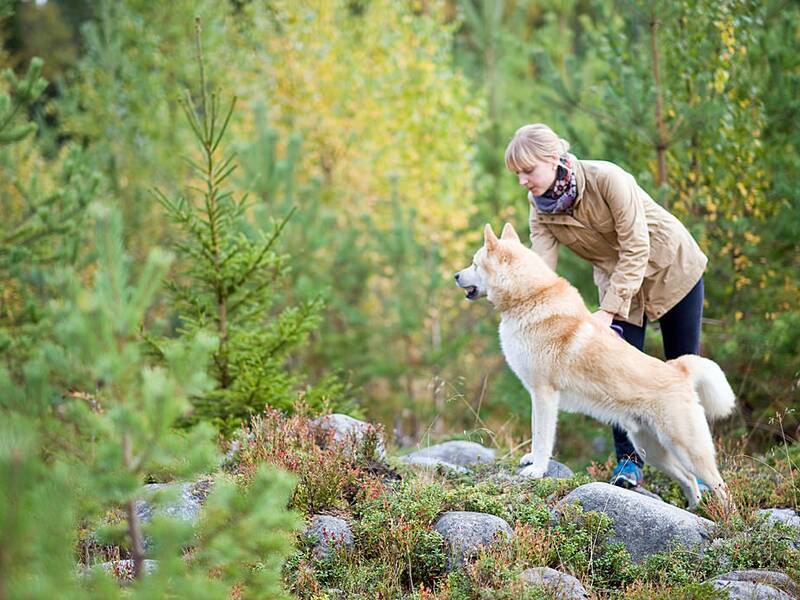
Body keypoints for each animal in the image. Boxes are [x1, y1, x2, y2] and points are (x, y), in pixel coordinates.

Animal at [456, 223, 736, 508]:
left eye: (475, 264)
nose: (456, 276)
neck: (530, 297)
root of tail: (679, 371)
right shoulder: (536, 394)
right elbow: (536, 433)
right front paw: (532, 459)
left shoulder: (545, 394)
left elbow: (543, 436)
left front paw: (537, 469)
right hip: (651, 449)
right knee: (689, 481)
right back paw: (694, 509)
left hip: (688, 449)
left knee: (721, 487)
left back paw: (725, 516)